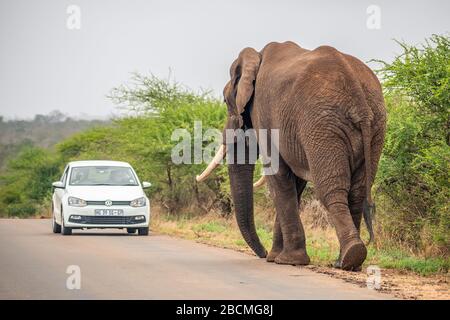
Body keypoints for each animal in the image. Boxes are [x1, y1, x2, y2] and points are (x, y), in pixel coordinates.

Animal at [197, 40, 386, 270]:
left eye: (225, 101)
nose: (262, 254)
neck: (257, 57)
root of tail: (359, 100)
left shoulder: (264, 113)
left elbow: (278, 176)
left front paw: (287, 260)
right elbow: (294, 183)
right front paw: (277, 257)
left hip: (321, 127)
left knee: (330, 190)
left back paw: (350, 256)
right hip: (374, 128)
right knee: (357, 191)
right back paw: (345, 262)